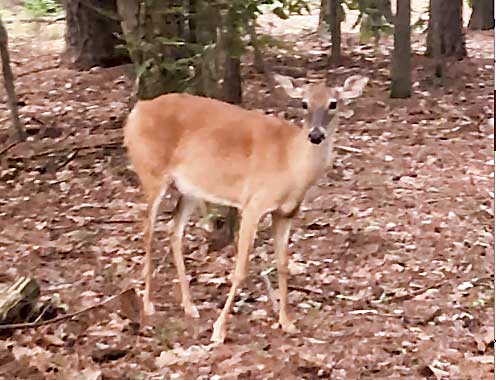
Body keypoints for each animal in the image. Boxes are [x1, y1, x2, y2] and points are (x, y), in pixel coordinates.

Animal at [124, 74, 368, 344]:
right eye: (304, 103)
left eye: (333, 103)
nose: (315, 135)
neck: (291, 164)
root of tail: (137, 110)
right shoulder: (253, 204)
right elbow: (240, 269)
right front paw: (219, 329)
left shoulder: (286, 213)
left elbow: (283, 265)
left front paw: (287, 322)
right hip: (151, 171)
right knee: (147, 229)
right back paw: (148, 303)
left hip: (191, 188)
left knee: (174, 229)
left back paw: (189, 306)